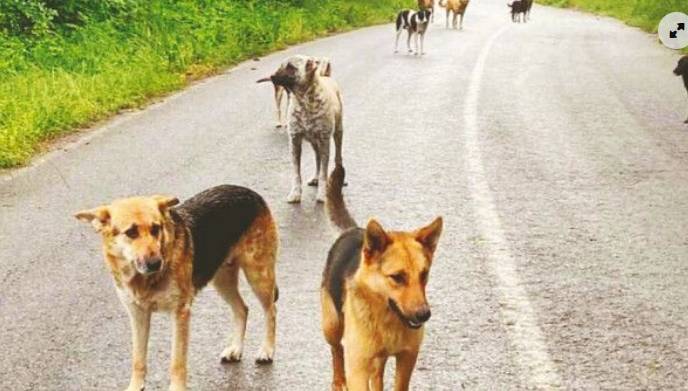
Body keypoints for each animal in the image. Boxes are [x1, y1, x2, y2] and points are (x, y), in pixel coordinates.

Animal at [74, 186, 278, 391]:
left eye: (156, 229)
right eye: (131, 232)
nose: (156, 264)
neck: (143, 279)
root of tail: (249, 192)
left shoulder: (180, 313)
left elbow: (177, 362)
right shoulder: (138, 315)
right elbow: (138, 359)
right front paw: (135, 386)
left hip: (258, 275)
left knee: (271, 310)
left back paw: (267, 350)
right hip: (222, 280)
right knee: (242, 309)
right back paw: (236, 348)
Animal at [320, 165, 444, 391]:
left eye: (424, 274)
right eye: (397, 277)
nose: (424, 315)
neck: (387, 319)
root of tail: (353, 230)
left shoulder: (407, 359)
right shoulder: (358, 368)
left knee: (377, 375)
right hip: (331, 326)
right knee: (336, 350)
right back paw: (338, 381)